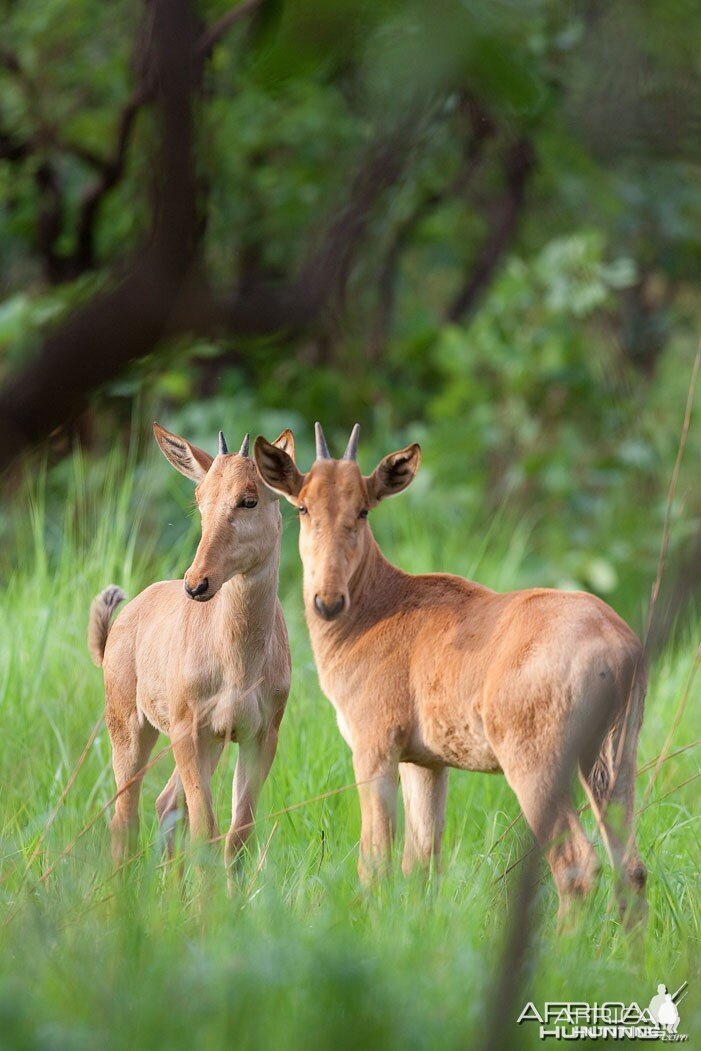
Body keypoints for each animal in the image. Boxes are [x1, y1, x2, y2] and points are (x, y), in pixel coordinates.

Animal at [89, 418, 294, 870]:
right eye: (200, 498)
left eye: (249, 499)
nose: (197, 583)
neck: (240, 664)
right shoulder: (188, 731)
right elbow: (206, 832)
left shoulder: (259, 736)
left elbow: (238, 836)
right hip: (130, 729)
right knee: (125, 816)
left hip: (212, 742)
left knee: (166, 805)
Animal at [255, 422, 651, 924]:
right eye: (303, 506)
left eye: (362, 509)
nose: (328, 601)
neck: (381, 606)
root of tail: (618, 645)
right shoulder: (426, 763)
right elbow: (421, 863)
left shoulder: (374, 747)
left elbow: (376, 860)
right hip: (613, 762)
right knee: (631, 868)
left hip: (538, 764)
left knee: (576, 866)